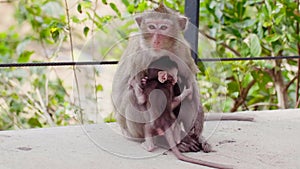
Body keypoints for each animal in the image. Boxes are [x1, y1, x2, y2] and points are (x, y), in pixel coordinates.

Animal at [111, 3, 210, 152]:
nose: (156, 40)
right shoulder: (140, 56)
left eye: (163, 27)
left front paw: (199, 127)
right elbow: (138, 89)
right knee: (132, 95)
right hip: (132, 131)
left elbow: (191, 80)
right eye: (151, 27)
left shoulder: (182, 50)